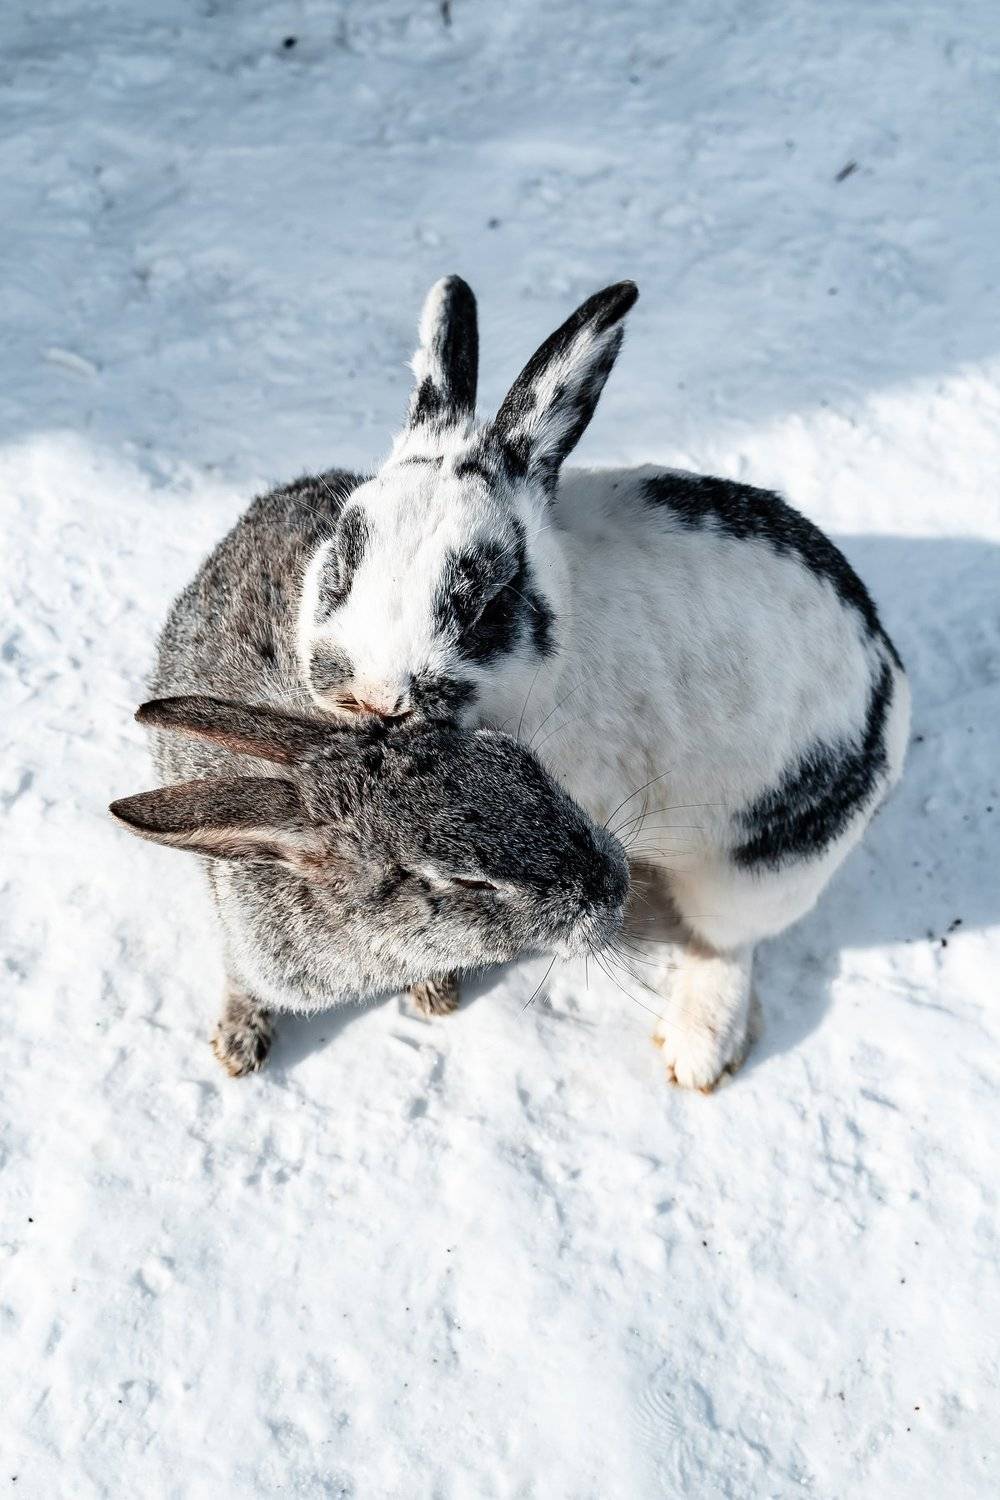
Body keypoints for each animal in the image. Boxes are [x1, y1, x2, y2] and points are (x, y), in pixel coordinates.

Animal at [110, 477, 629, 1076]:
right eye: (468, 882)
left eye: (520, 760)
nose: (616, 884)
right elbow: (244, 982)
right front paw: (238, 1046)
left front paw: (435, 994)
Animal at [296, 276, 911, 1090]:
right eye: (343, 550)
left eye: (488, 599)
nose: (372, 697)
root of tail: (890, 683)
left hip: (763, 861)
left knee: (730, 942)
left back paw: (695, 1051)